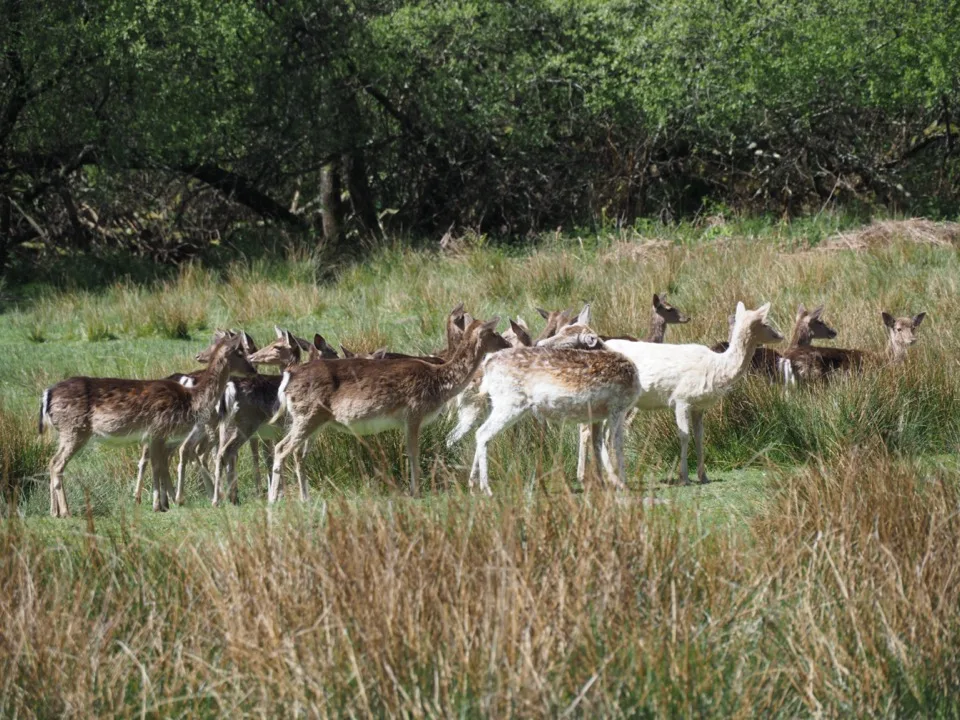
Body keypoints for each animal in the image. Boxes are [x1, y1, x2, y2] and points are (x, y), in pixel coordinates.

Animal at [39, 335, 256, 517]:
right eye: (240, 352)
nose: (253, 370)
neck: (191, 400)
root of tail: (47, 395)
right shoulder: (158, 430)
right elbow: (158, 466)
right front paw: (159, 505)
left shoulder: (155, 436)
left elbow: (158, 466)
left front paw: (165, 503)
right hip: (74, 429)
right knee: (57, 464)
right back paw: (65, 511)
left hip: (66, 432)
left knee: (51, 461)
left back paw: (53, 511)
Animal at [210, 327, 337, 505]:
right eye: (333, 351)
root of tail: (228, 389)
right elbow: (295, 455)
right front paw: (301, 497)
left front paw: (280, 494)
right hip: (244, 423)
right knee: (226, 452)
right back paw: (228, 498)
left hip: (225, 425)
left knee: (219, 454)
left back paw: (221, 498)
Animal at [268, 315, 510, 501]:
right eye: (494, 332)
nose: (508, 345)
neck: (439, 383)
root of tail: (288, 376)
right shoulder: (414, 412)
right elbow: (413, 452)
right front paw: (416, 492)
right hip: (307, 415)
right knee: (281, 448)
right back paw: (272, 500)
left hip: (314, 420)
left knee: (297, 452)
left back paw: (304, 498)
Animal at [469, 323, 640, 495]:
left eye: (569, 341)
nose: (540, 344)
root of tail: (487, 363)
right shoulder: (618, 407)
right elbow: (616, 444)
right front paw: (622, 485)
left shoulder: (598, 415)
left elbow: (598, 445)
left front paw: (604, 485)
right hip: (510, 402)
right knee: (483, 433)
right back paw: (486, 489)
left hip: (501, 403)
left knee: (480, 432)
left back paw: (473, 483)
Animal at [600, 302, 783, 485]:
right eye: (765, 323)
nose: (781, 336)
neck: (717, 368)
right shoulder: (681, 399)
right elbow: (684, 435)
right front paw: (684, 478)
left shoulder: (699, 406)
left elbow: (700, 436)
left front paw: (704, 477)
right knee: (605, 434)